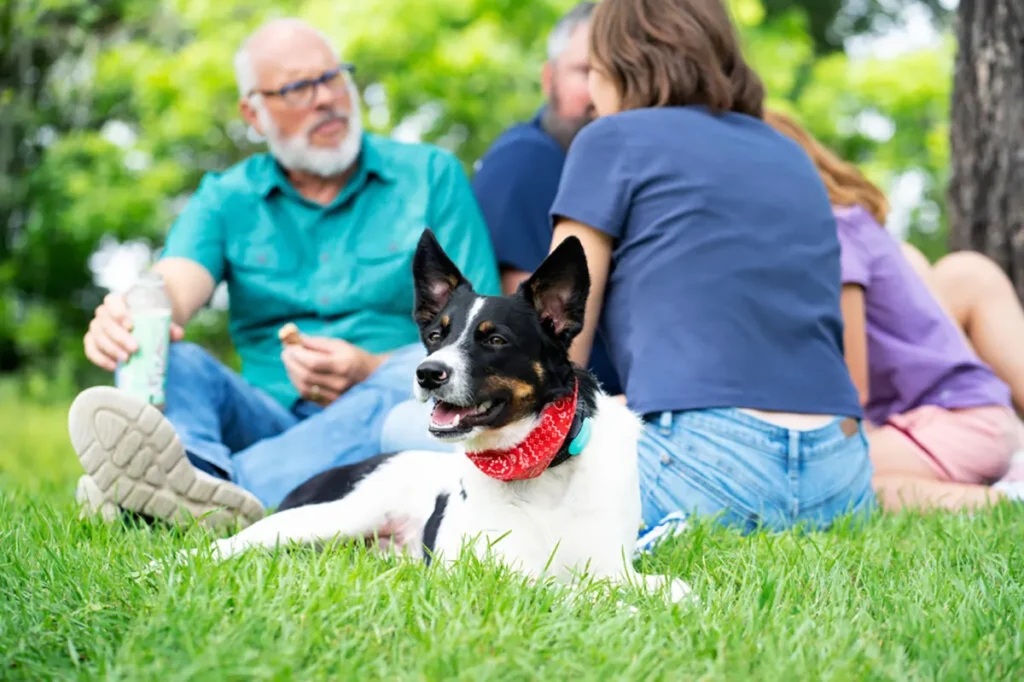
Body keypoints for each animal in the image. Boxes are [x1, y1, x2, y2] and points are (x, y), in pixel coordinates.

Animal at [180, 231, 692, 602]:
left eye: (495, 339)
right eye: (433, 335)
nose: (427, 373)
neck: (541, 466)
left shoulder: (611, 566)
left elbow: (678, 589)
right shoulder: (509, 574)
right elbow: (574, 596)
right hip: (332, 516)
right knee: (221, 546)